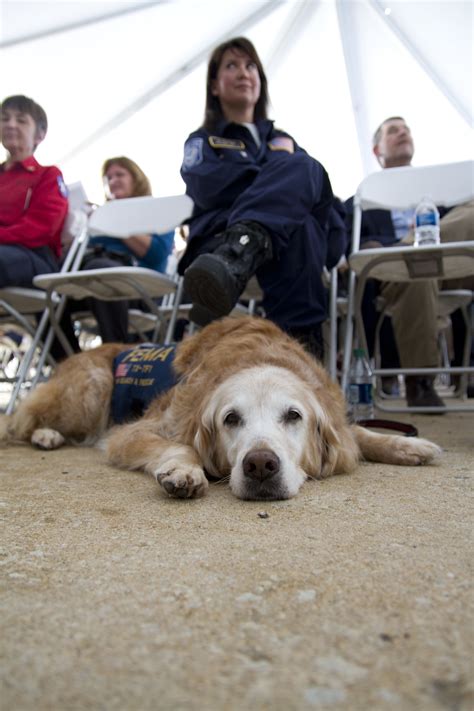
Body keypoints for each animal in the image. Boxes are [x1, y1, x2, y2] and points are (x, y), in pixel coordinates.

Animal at [1, 318, 442, 500]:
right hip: (91, 390)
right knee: (20, 419)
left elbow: (357, 434)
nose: (260, 465)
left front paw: (408, 446)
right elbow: (182, 445)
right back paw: (45, 435)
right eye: (231, 419)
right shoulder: (130, 433)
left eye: (293, 416)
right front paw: (184, 471)